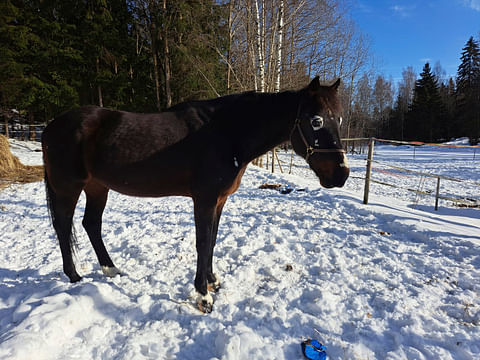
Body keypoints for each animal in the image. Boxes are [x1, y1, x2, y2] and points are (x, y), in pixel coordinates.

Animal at [41, 76, 348, 312]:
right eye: (316, 120)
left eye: (339, 119)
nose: (341, 174)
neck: (226, 133)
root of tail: (50, 126)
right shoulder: (204, 199)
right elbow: (202, 242)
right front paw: (203, 295)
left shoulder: (219, 201)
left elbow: (212, 240)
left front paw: (213, 281)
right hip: (68, 188)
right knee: (63, 226)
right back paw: (74, 276)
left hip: (97, 187)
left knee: (91, 223)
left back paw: (111, 270)